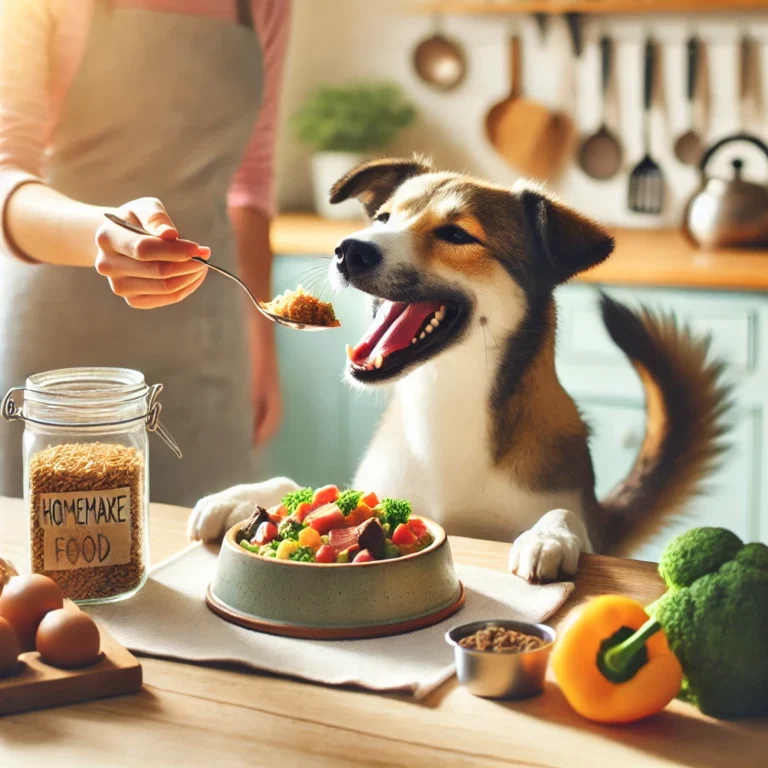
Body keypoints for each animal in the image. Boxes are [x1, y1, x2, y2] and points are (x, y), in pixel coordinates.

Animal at [189, 158, 728, 584]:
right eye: (383, 218)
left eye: (455, 233)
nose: (349, 249)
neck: (444, 398)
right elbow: (305, 486)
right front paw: (238, 497)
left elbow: (562, 515)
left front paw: (549, 537)